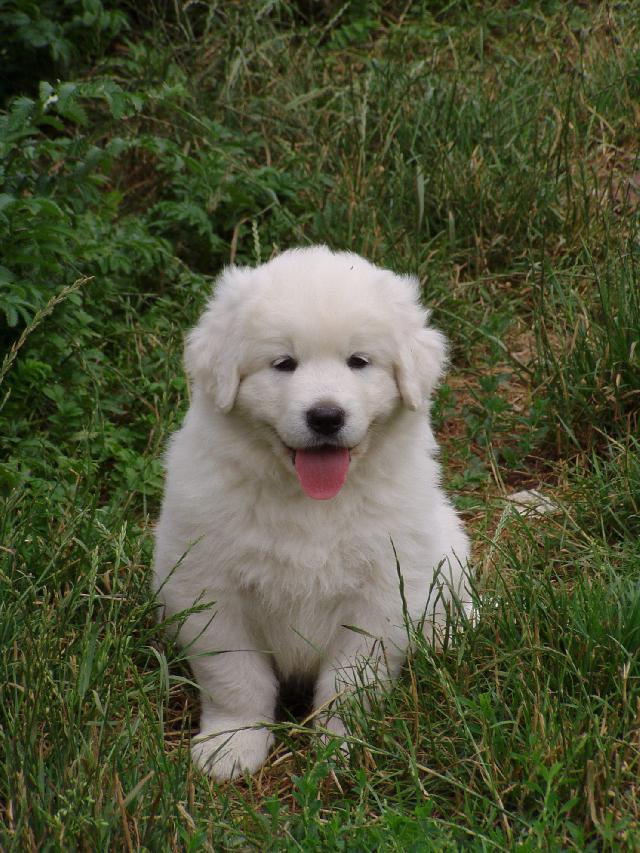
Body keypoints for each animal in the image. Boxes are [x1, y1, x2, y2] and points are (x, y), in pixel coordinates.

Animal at [153, 246, 470, 781]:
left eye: (359, 362)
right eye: (284, 364)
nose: (326, 416)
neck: (311, 501)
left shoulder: (381, 593)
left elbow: (350, 683)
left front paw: (341, 749)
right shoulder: (210, 588)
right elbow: (235, 677)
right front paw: (232, 743)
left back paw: (447, 633)